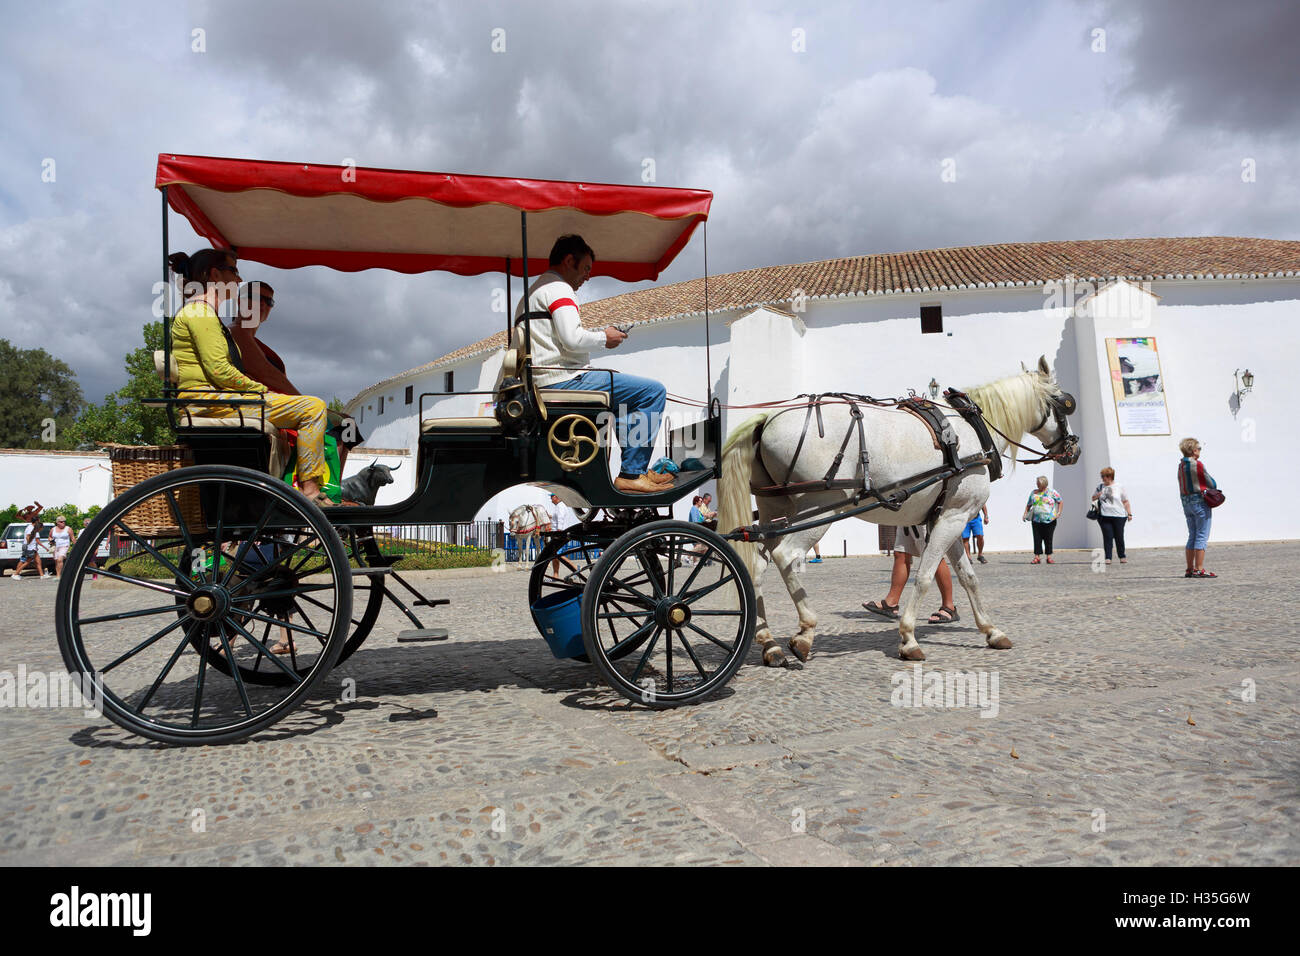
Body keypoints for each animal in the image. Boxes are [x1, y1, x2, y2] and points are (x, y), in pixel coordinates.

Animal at [717, 356, 1081, 665]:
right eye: (1064, 403)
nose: (1074, 449)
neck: (970, 428)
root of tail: (767, 418)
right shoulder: (953, 517)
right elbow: (924, 577)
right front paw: (908, 638)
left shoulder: (950, 518)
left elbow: (968, 578)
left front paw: (992, 631)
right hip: (817, 510)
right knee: (787, 557)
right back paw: (805, 632)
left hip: (775, 510)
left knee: (757, 567)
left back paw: (768, 642)